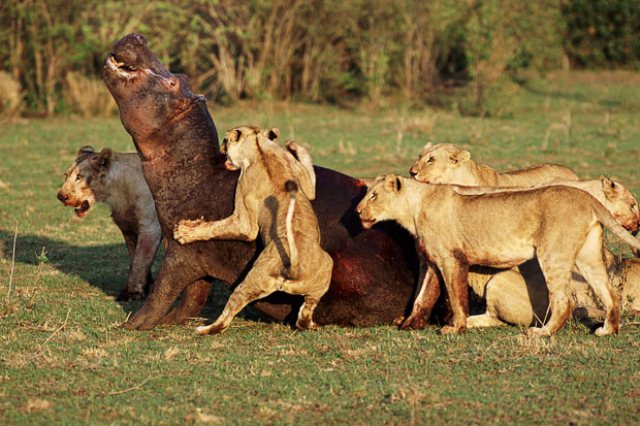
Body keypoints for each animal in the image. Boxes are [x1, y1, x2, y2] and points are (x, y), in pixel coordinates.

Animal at [57, 146, 162, 300]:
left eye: (79, 177)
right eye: (66, 175)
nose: (60, 196)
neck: (118, 195)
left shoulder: (151, 227)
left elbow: (140, 260)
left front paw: (131, 293)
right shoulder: (128, 227)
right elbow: (135, 256)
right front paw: (145, 286)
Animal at [175, 125, 336, 334]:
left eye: (225, 140)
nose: (221, 150)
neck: (259, 147)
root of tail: (293, 267)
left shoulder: (244, 220)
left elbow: (216, 227)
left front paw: (184, 232)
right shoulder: (307, 186)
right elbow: (308, 169)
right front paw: (293, 145)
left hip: (251, 282)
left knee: (225, 318)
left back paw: (203, 329)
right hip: (325, 270)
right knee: (305, 315)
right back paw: (310, 323)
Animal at [358, 176, 640, 336]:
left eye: (374, 195)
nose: (358, 210)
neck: (415, 207)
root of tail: (586, 197)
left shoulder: (451, 259)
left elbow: (456, 297)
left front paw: (455, 328)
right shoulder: (431, 261)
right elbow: (421, 297)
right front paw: (409, 324)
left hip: (552, 254)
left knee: (563, 300)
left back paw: (543, 333)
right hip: (587, 256)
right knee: (610, 294)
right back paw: (607, 330)